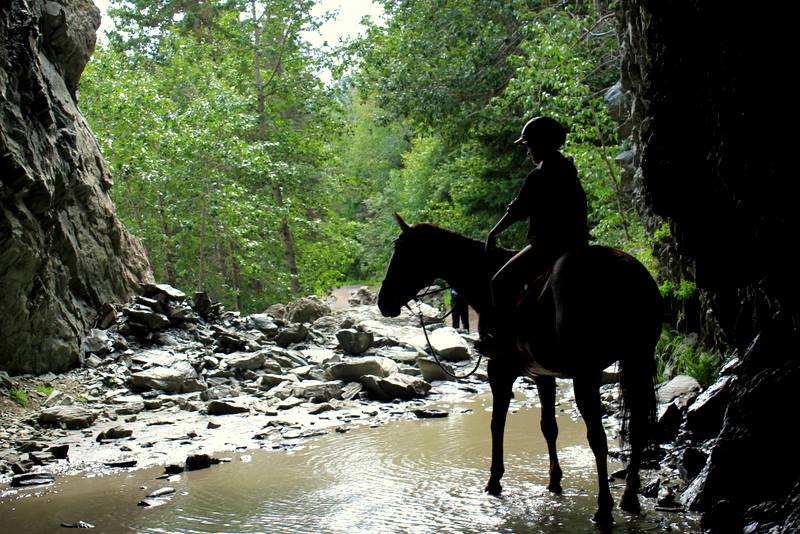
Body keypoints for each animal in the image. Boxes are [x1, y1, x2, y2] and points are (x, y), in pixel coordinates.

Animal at [377, 214, 662, 527]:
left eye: (403, 252)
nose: (383, 301)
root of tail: (627, 274)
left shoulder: (499, 369)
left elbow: (496, 424)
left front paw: (494, 482)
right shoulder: (543, 376)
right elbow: (549, 427)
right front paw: (554, 481)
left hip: (586, 374)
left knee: (597, 438)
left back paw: (604, 509)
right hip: (638, 360)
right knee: (637, 427)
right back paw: (630, 498)